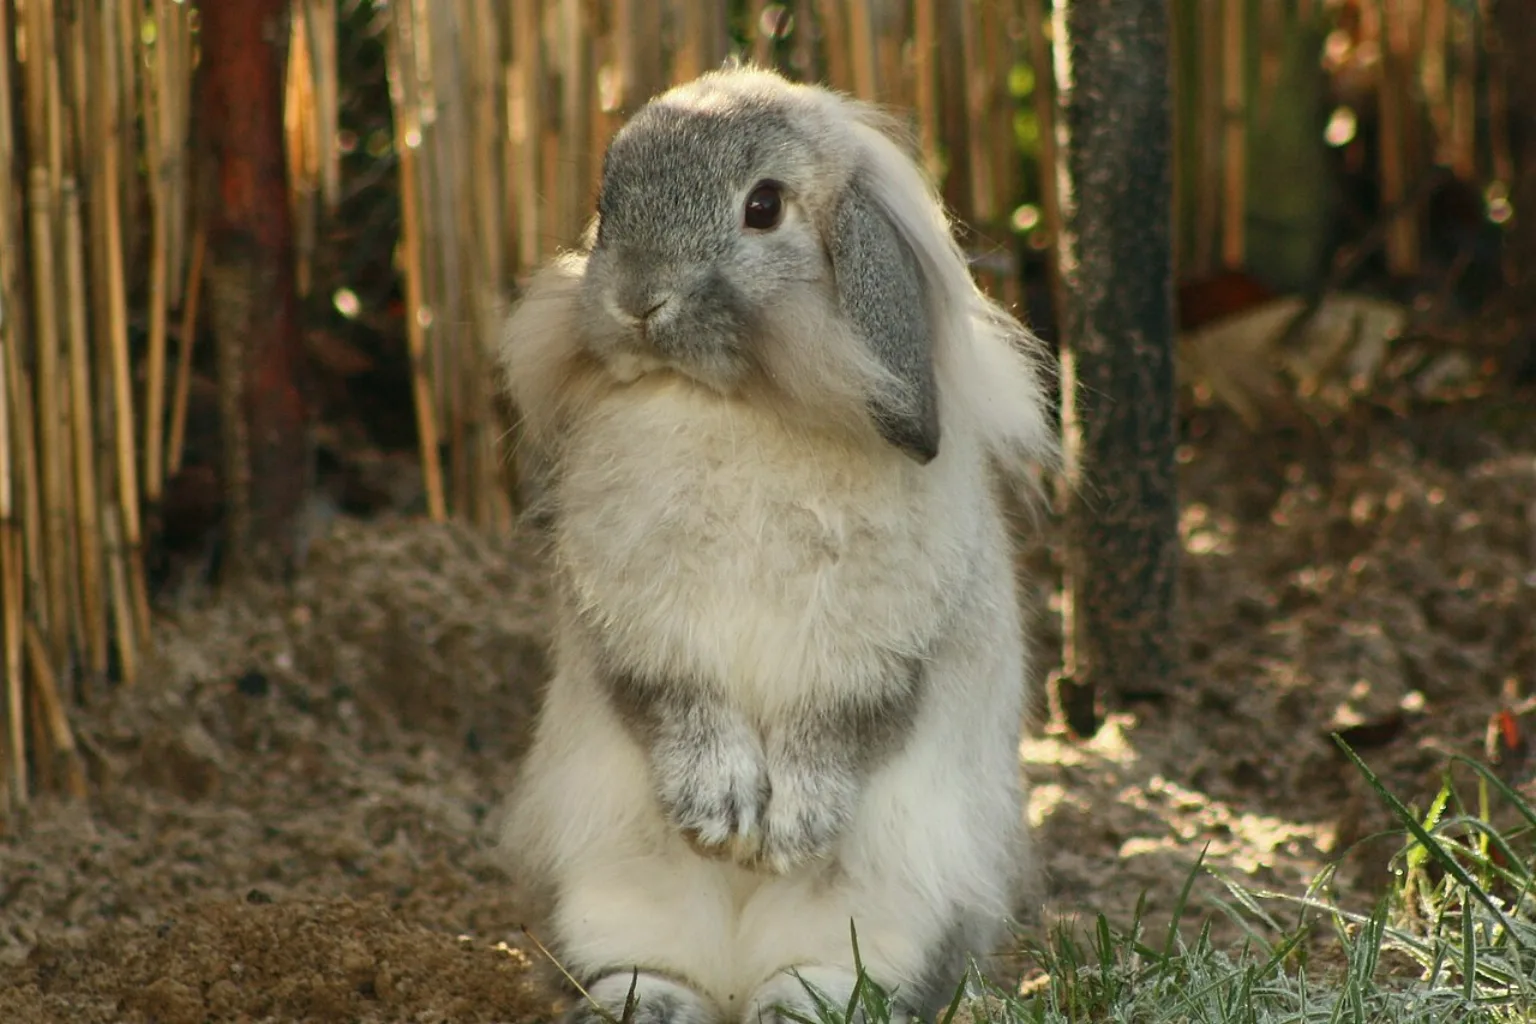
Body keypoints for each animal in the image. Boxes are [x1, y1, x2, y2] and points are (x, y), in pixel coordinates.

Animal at [496, 62, 1058, 1024]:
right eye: (606, 205)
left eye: (763, 207)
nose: (636, 302)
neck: (742, 403)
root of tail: (733, 971)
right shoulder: (639, 626)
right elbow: (677, 705)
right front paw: (720, 813)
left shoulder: (878, 648)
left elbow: (838, 730)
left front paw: (787, 829)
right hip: (607, 891)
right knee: (644, 962)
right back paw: (646, 1004)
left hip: (888, 909)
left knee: (826, 970)